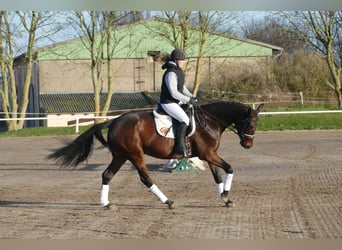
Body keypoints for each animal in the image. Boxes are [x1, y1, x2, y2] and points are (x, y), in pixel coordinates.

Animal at [48, 101, 264, 209]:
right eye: (250, 123)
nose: (248, 144)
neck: (210, 121)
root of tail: (115, 121)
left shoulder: (209, 155)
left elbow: (218, 176)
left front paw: (225, 198)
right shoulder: (208, 154)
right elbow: (229, 168)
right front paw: (226, 195)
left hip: (121, 156)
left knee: (107, 175)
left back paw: (107, 204)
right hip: (135, 155)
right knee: (145, 178)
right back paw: (168, 201)